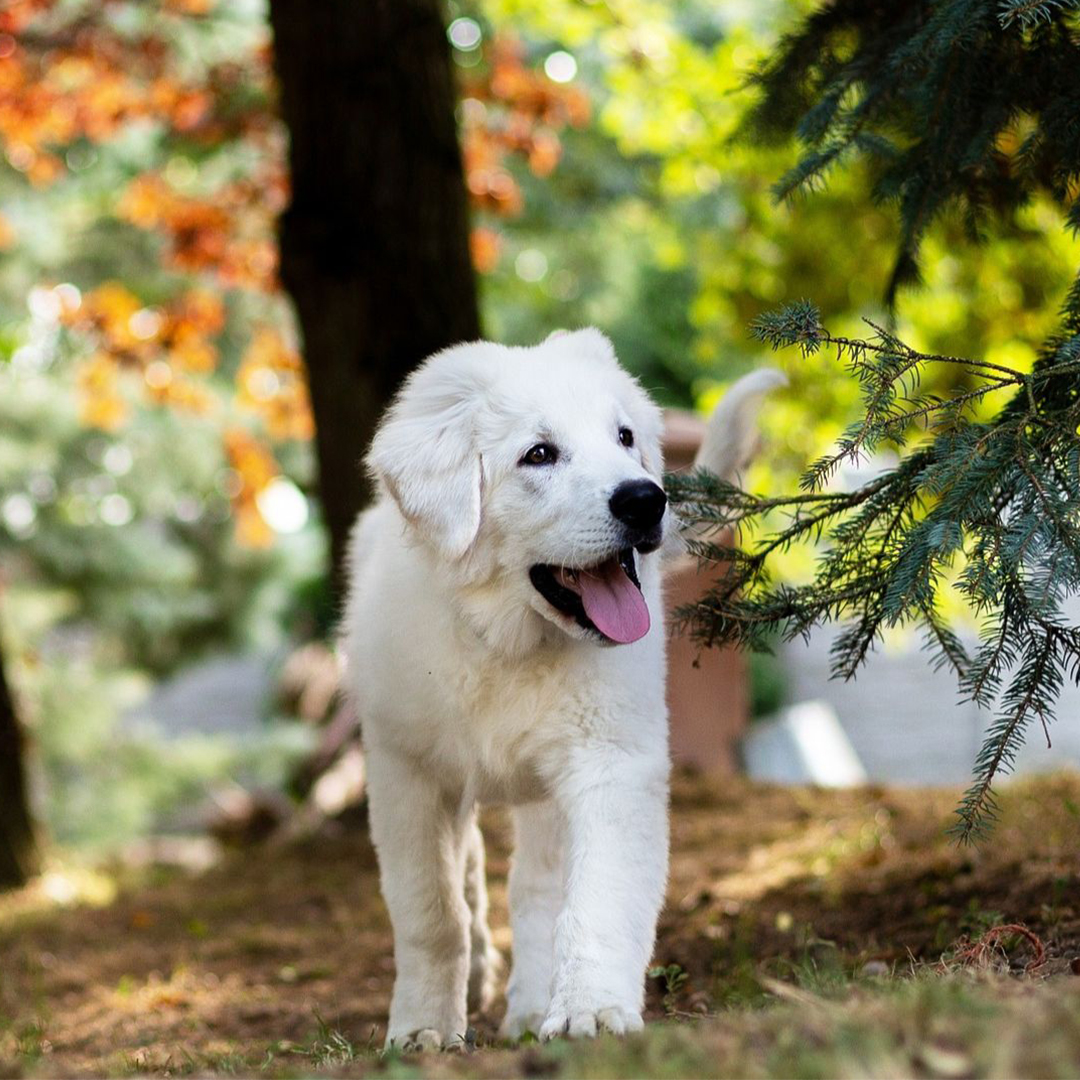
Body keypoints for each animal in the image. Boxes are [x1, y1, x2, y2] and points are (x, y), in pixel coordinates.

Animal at [341, 328, 781, 1045]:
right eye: (539, 454)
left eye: (624, 437)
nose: (646, 499)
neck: (506, 642)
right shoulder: (405, 772)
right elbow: (432, 912)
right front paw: (423, 1027)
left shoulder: (609, 761)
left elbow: (594, 899)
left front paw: (591, 1010)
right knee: (472, 872)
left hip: (547, 789)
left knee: (536, 889)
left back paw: (528, 1008)